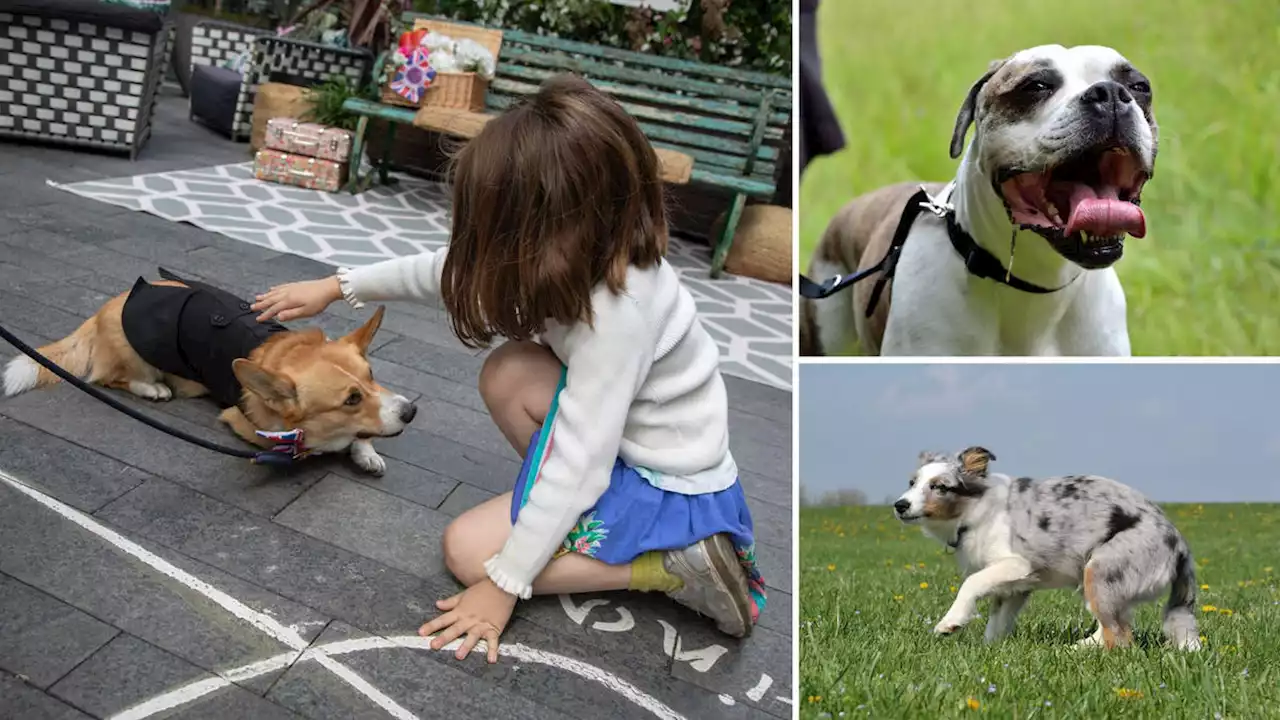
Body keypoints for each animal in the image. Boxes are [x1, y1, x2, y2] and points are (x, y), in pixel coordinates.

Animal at [2, 266, 414, 474]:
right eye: (351, 399)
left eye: (371, 377)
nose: (411, 411)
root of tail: (105, 309)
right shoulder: (250, 428)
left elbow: (362, 436)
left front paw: (366, 451)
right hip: (136, 358)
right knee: (108, 378)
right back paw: (152, 389)